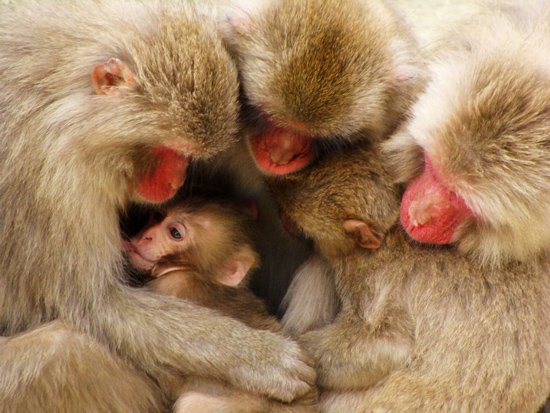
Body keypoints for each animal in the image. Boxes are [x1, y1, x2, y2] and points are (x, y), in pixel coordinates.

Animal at [0, 1, 314, 410]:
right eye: (170, 150)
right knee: (64, 347)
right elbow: (95, 305)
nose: (174, 182)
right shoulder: (53, 182)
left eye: (186, 157)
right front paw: (259, 356)